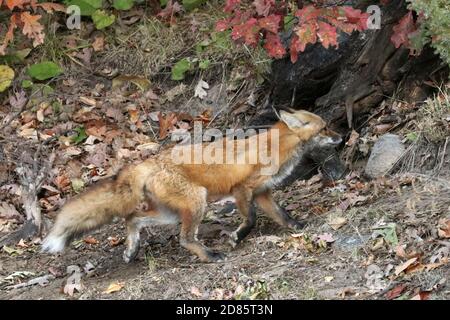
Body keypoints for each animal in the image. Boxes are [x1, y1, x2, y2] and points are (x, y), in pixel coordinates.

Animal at [43, 109, 342, 262]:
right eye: (325, 128)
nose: (342, 137)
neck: (276, 147)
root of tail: (147, 162)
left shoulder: (263, 192)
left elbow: (282, 215)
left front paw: (298, 226)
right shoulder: (242, 189)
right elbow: (251, 219)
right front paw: (237, 237)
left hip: (170, 213)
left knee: (133, 218)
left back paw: (131, 250)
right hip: (197, 201)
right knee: (185, 239)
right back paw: (210, 255)